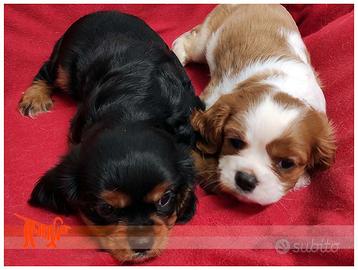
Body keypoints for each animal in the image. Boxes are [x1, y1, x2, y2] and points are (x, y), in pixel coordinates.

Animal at [20, 10, 204, 262]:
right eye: (106, 209)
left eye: (165, 199)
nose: (142, 245)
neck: (133, 112)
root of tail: (99, 12)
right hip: (65, 66)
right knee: (47, 70)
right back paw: (34, 97)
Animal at [173, 4, 336, 205]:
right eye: (235, 142)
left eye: (287, 164)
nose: (245, 179)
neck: (285, 88)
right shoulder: (213, 95)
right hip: (205, 40)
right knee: (187, 41)